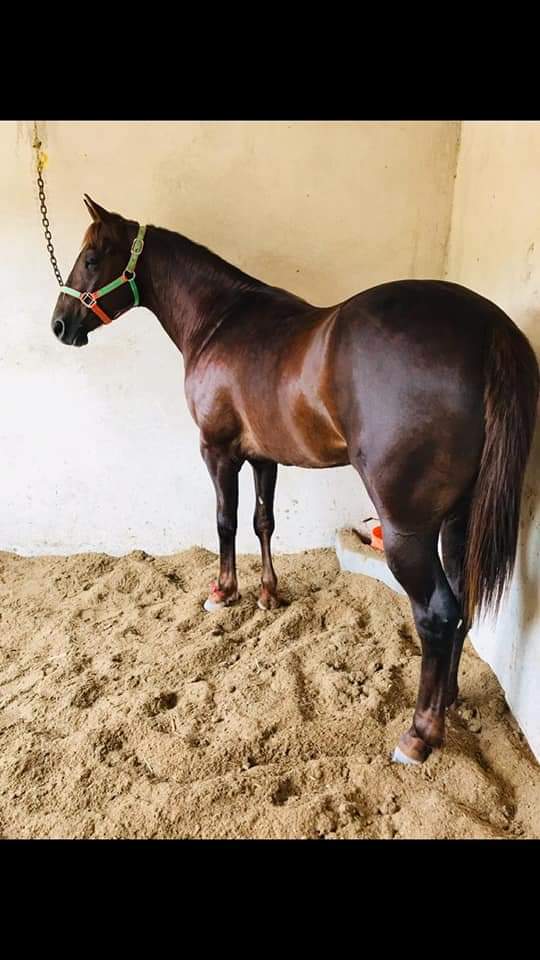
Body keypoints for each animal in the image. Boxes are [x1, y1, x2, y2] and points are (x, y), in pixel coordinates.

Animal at [50, 195, 539, 765]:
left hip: (408, 530)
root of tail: (488, 328)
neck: (221, 320)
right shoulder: (264, 457)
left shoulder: (217, 451)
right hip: (460, 518)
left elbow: (225, 521)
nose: (60, 325)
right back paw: (449, 697)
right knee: (461, 603)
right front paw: (268, 594)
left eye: (91, 257)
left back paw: (419, 733)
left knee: (438, 613)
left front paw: (224, 593)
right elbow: (263, 522)